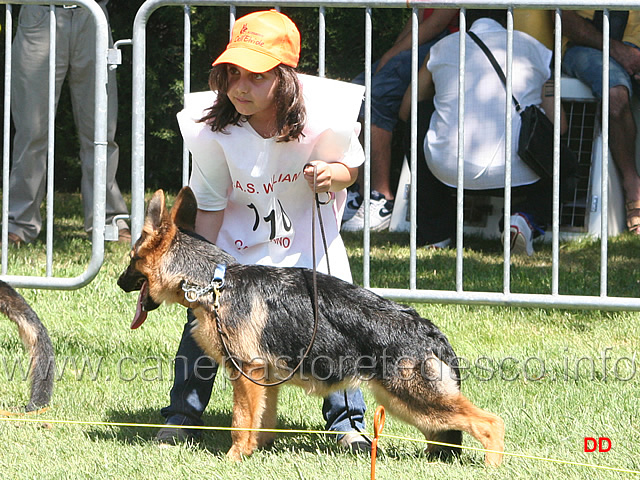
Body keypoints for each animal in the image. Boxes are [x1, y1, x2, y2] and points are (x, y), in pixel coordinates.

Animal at [116, 188, 504, 464]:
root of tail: (430, 330)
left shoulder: (245, 374)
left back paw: (492, 465)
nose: (118, 283)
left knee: (489, 422)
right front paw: (257, 450)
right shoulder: (265, 379)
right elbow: (262, 419)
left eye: (132, 260)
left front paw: (234, 457)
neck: (216, 281)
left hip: (411, 398)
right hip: (409, 403)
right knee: (446, 430)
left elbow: (241, 421)